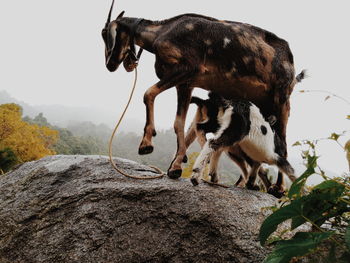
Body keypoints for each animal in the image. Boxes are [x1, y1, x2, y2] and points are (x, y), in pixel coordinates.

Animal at [102, 0, 300, 179]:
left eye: (105, 33)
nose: (110, 65)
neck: (163, 31)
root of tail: (290, 57)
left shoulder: (189, 68)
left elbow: (148, 93)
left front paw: (146, 144)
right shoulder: (185, 84)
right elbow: (178, 123)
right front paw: (176, 167)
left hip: (282, 98)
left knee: (283, 145)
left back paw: (279, 188)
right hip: (264, 104)